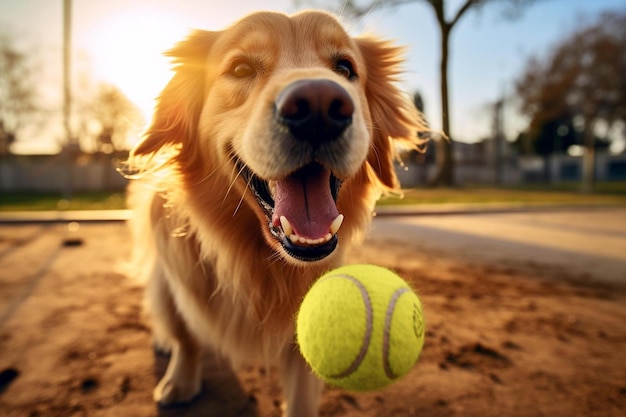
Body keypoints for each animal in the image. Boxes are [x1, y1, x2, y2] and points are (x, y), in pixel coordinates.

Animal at [127, 9, 426, 416]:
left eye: (345, 67)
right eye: (240, 68)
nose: (320, 106)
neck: (260, 265)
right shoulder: (175, 270)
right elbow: (185, 332)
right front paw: (180, 380)